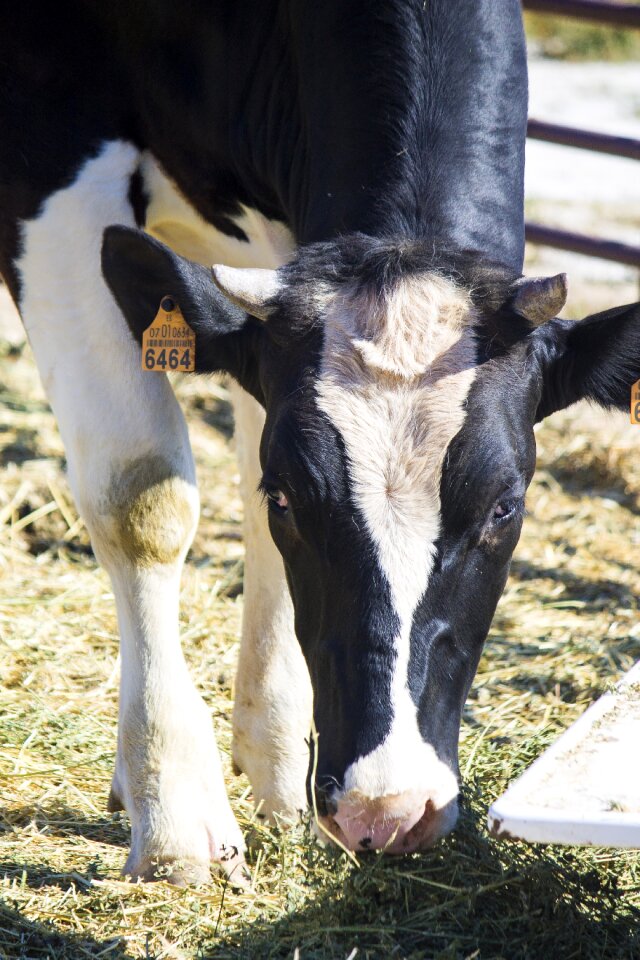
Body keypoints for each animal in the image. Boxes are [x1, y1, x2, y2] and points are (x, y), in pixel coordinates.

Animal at [1, 0, 640, 884]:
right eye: (290, 499)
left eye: (505, 508)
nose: (388, 809)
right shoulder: (48, 151)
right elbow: (142, 497)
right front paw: (175, 818)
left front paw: (275, 765)